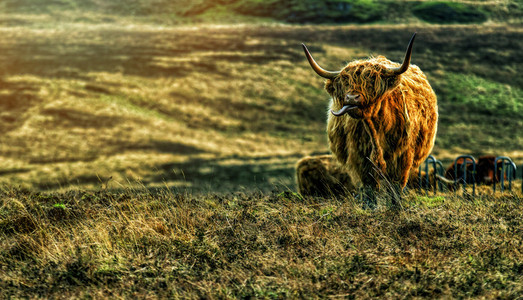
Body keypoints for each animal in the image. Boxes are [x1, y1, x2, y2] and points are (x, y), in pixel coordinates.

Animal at [300, 34, 440, 205]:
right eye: (345, 82)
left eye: (372, 80)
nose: (351, 98)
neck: (375, 128)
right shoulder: (359, 156)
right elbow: (369, 185)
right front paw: (369, 204)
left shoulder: (403, 155)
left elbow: (396, 184)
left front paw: (396, 204)